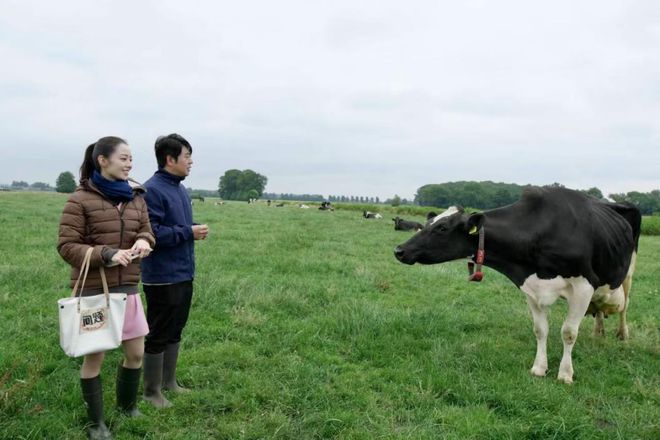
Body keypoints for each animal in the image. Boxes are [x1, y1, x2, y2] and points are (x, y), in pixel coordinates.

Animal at [392, 187, 640, 384]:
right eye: (428, 223)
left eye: (442, 228)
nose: (399, 250)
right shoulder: (530, 287)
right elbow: (540, 330)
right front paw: (539, 368)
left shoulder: (583, 286)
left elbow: (569, 332)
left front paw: (565, 374)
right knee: (600, 308)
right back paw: (599, 332)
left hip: (628, 273)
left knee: (625, 306)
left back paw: (622, 334)